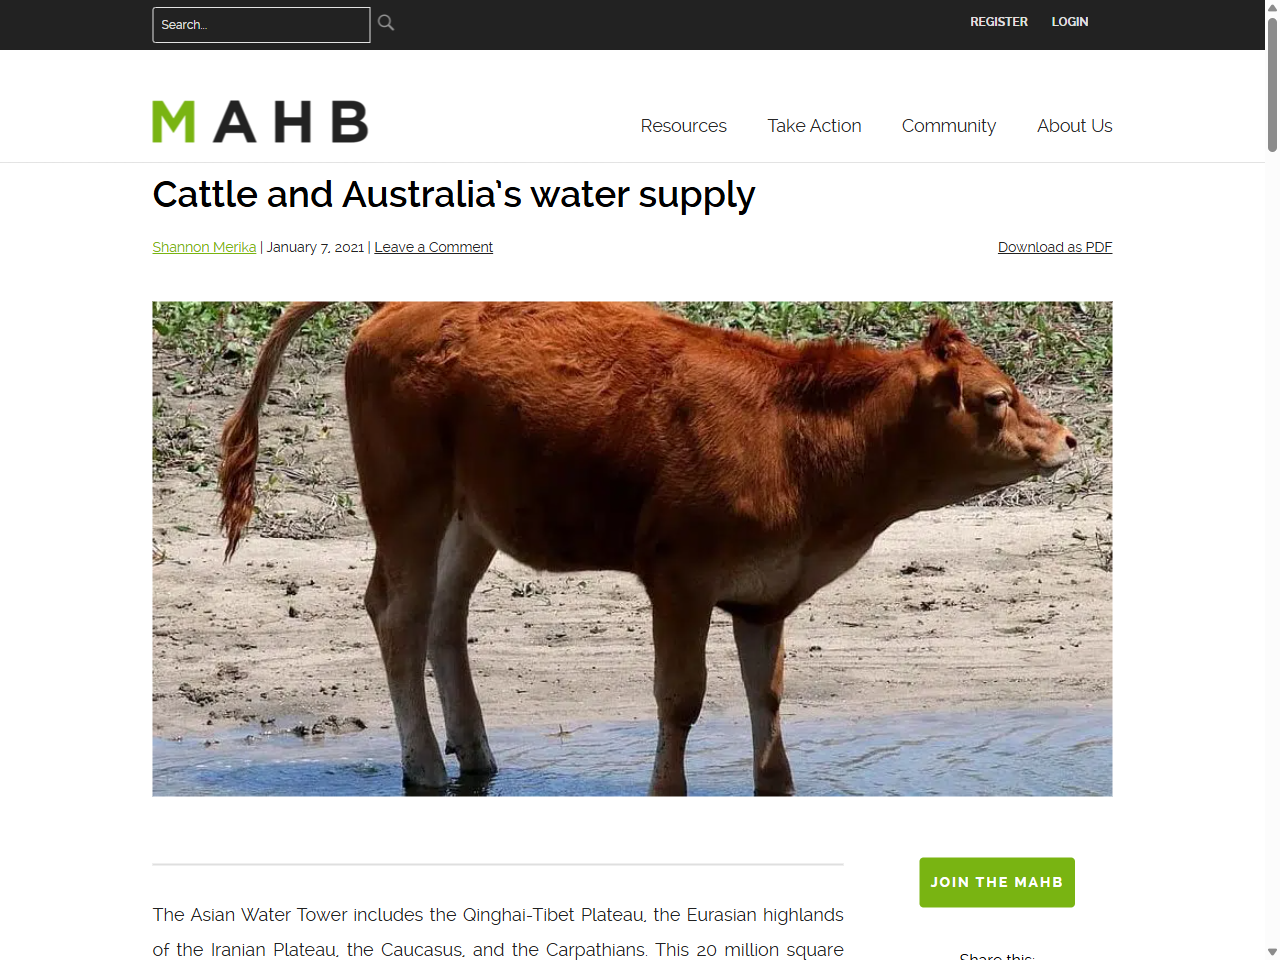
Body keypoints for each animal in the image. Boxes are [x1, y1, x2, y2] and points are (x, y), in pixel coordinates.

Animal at [219, 302, 1076, 795]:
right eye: (996, 397)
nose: (1068, 436)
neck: (796, 433)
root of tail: (398, 307)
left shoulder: (764, 594)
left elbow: (767, 695)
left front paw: (778, 785)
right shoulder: (679, 580)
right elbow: (681, 698)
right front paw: (668, 789)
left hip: (472, 516)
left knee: (441, 615)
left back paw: (477, 757)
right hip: (408, 502)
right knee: (398, 615)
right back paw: (427, 768)